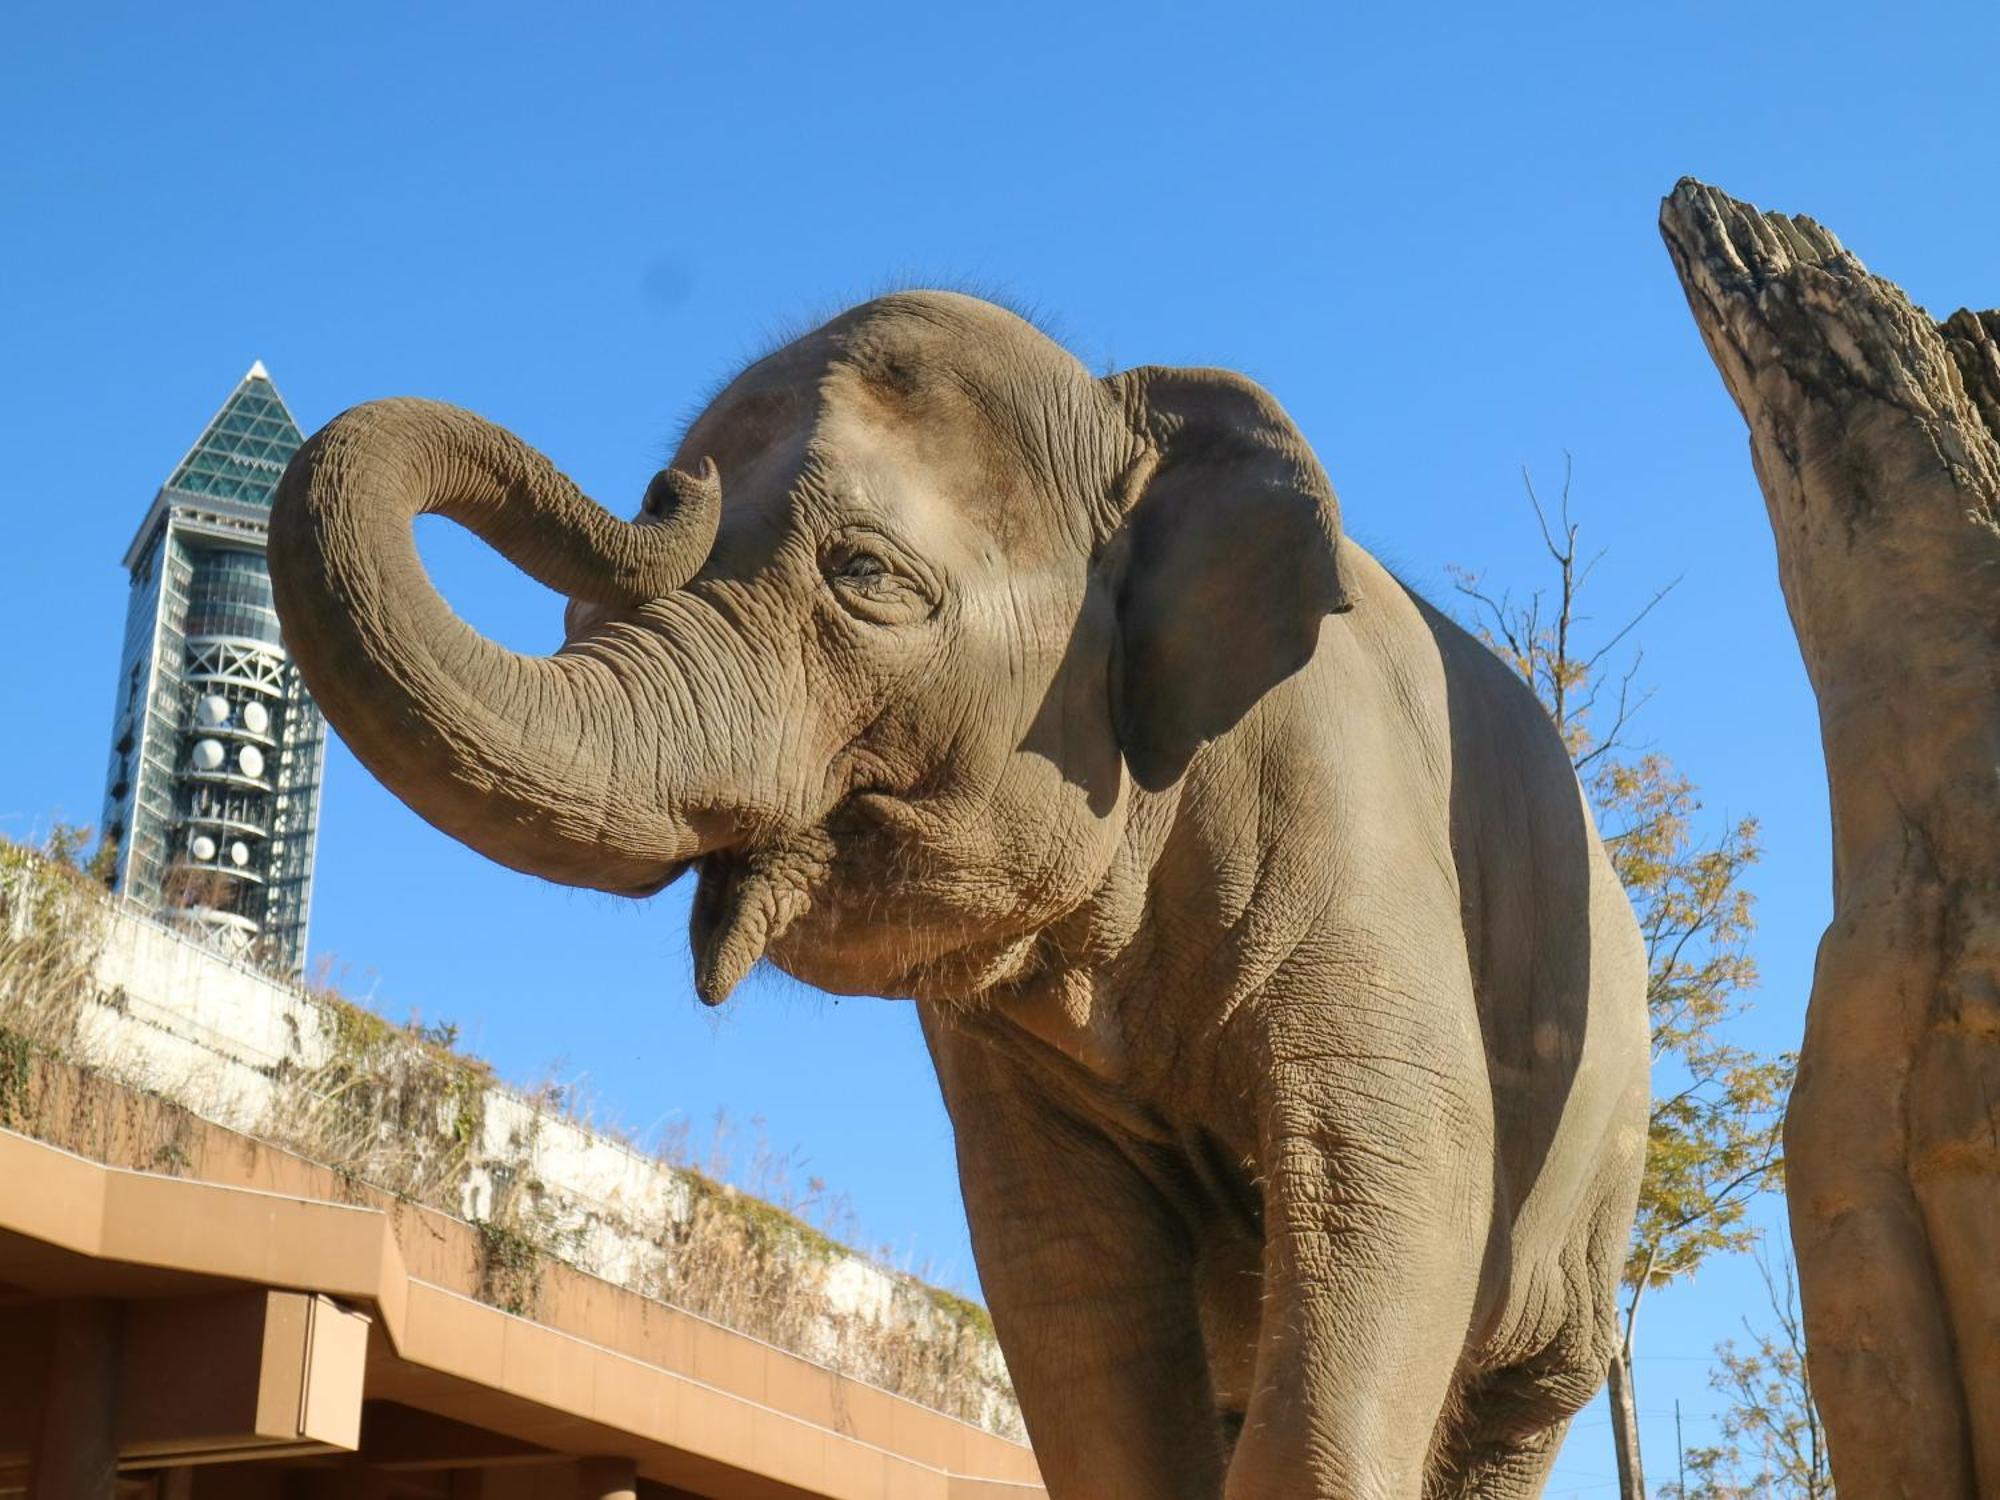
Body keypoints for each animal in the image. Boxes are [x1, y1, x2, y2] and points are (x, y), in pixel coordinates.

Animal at [266, 294, 1640, 1500]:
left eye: (865, 573)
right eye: (578, 608)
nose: (667, 490)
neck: (1130, 410)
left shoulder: (1352, 830)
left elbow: (1394, 1176)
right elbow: (1063, 1266)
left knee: (1512, 1398)